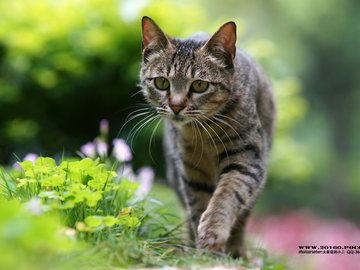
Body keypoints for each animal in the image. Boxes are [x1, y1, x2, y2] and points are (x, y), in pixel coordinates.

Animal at [139, 15, 274, 256]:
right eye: (162, 82)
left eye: (200, 85)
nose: (176, 106)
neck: (203, 133)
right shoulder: (192, 172)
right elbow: (197, 206)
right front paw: (200, 249)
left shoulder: (248, 160)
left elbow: (227, 195)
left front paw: (213, 233)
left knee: (242, 217)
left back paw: (236, 250)